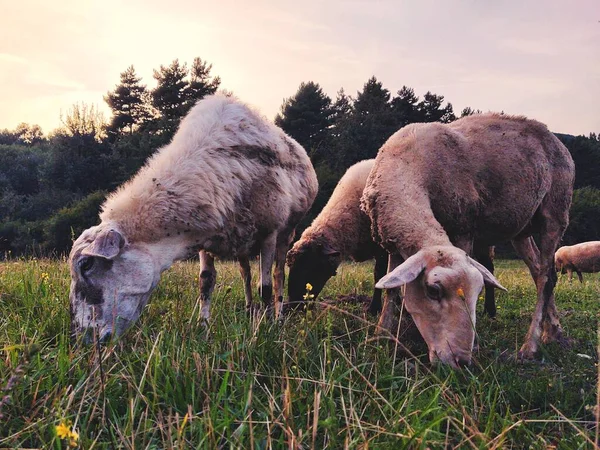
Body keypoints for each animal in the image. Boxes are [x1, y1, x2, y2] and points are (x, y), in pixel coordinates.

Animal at [68, 93, 318, 342]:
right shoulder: (206, 238)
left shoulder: (269, 232)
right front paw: (203, 328)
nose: (82, 339)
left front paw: (263, 332)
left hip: (286, 232)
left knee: (277, 275)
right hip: (242, 240)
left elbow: (264, 287)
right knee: (245, 273)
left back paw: (277, 317)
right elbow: (205, 283)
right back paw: (249, 311)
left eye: (87, 265)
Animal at [360, 113, 576, 370]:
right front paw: (381, 334)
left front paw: (477, 344)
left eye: (478, 291)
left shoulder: (463, 229)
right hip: (522, 230)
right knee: (539, 271)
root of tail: (554, 137)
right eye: (433, 290)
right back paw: (553, 332)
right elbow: (391, 289)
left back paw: (530, 346)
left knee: (546, 278)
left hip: (554, 212)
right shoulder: (393, 241)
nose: (461, 360)